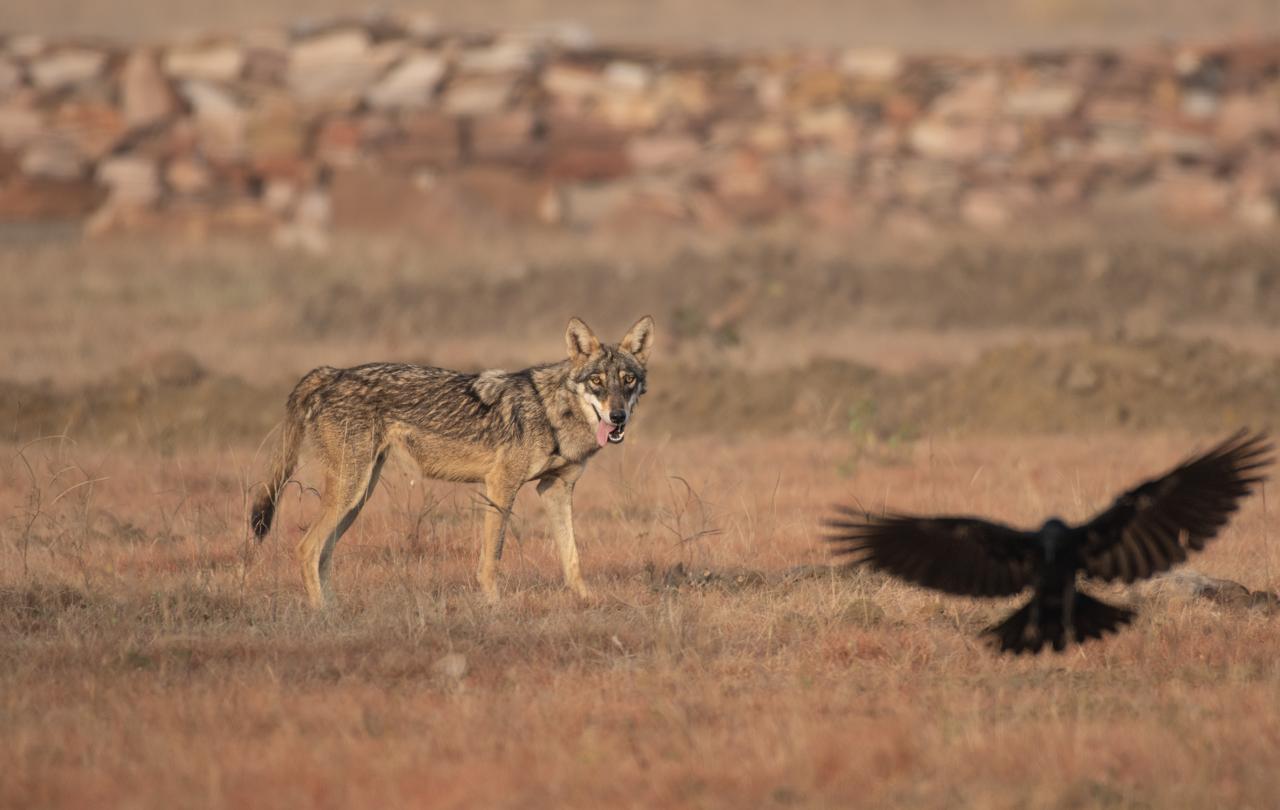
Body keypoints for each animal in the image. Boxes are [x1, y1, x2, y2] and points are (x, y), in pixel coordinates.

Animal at [250, 315, 655, 607]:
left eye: (628, 380)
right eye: (597, 382)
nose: (617, 417)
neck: (553, 411)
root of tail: (330, 372)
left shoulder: (555, 488)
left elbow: (572, 557)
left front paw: (588, 600)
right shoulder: (501, 485)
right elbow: (492, 557)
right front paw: (494, 606)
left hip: (359, 495)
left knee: (324, 552)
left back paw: (335, 609)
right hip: (351, 491)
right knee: (306, 548)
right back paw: (322, 614)